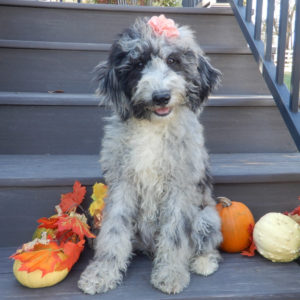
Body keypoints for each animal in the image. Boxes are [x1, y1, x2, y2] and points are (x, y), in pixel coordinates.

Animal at [77, 16, 223, 296]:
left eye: (173, 60)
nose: (161, 96)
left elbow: (176, 235)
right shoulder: (122, 183)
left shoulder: (180, 187)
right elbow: (113, 231)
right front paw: (102, 273)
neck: (154, 127)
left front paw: (171, 274)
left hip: (207, 216)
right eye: (138, 64)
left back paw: (203, 261)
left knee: (206, 241)